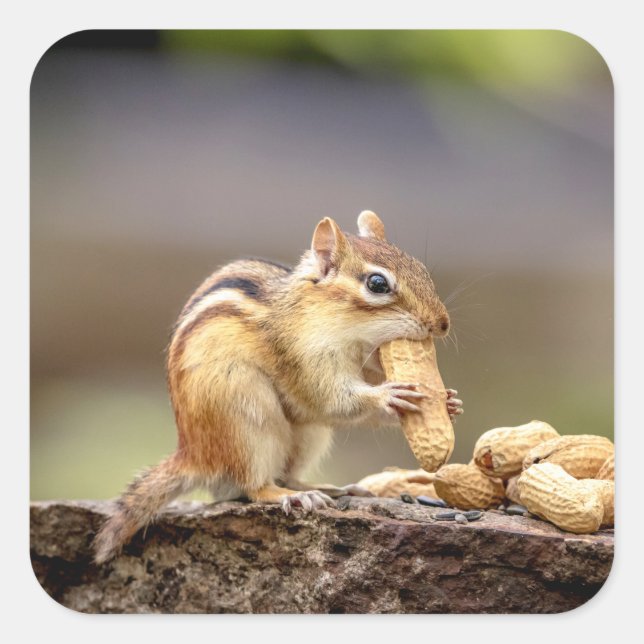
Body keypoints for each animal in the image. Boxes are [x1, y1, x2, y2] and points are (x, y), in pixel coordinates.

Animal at [93, 210, 462, 564]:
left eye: (421, 269)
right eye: (377, 284)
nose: (443, 324)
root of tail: (193, 455)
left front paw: (449, 401)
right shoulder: (303, 358)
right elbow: (333, 399)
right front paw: (389, 396)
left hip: (309, 434)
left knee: (288, 473)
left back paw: (329, 489)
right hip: (246, 418)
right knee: (255, 487)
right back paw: (293, 496)